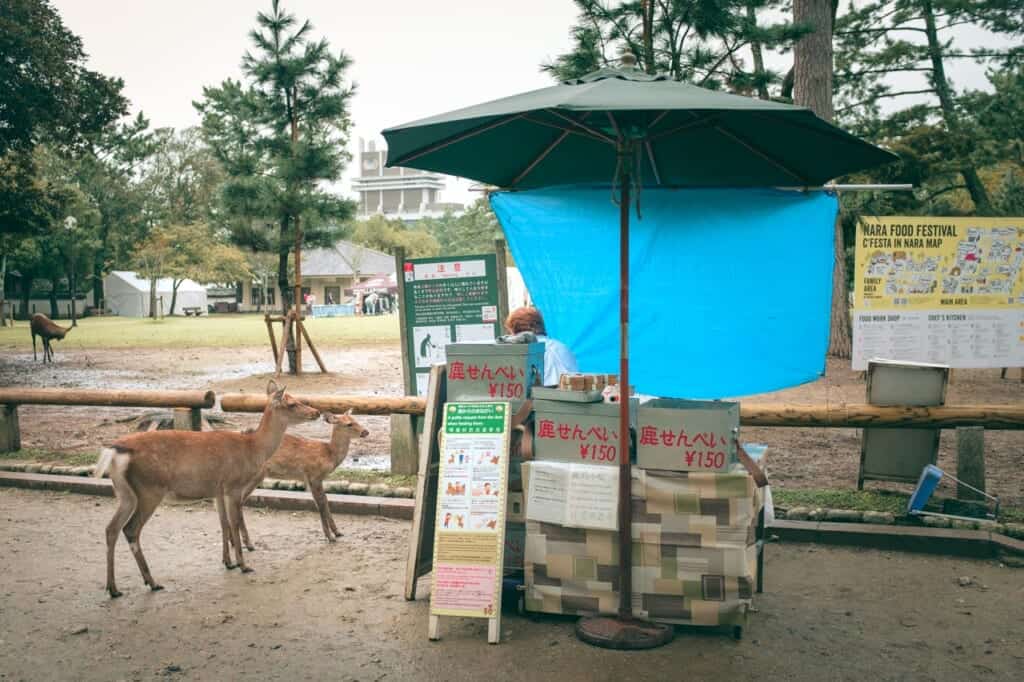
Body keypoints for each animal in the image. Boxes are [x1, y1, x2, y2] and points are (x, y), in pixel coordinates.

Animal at [96, 378, 319, 598]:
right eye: (292, 403)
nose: (316, 412)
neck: (253, 448)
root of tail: (115, 451)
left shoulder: (217, 491)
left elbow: (223, 523)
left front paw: (228, 562)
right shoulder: (232, 486)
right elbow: (234, 523)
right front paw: (243, 565)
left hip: (125, 493)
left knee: (111, 528)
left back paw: (113, 588)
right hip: (149, 489)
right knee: (130, 529)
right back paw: (152, 582)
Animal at [234, 405, 368, 544]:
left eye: (356, 419)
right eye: (349, 424)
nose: (366, 432)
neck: (328, 455)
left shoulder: (316, 479)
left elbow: (325, 500)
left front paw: (338, 532)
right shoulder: (313, 475)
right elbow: (320, 504)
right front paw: (330, 536)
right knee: (238, 502)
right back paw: (246, 541)